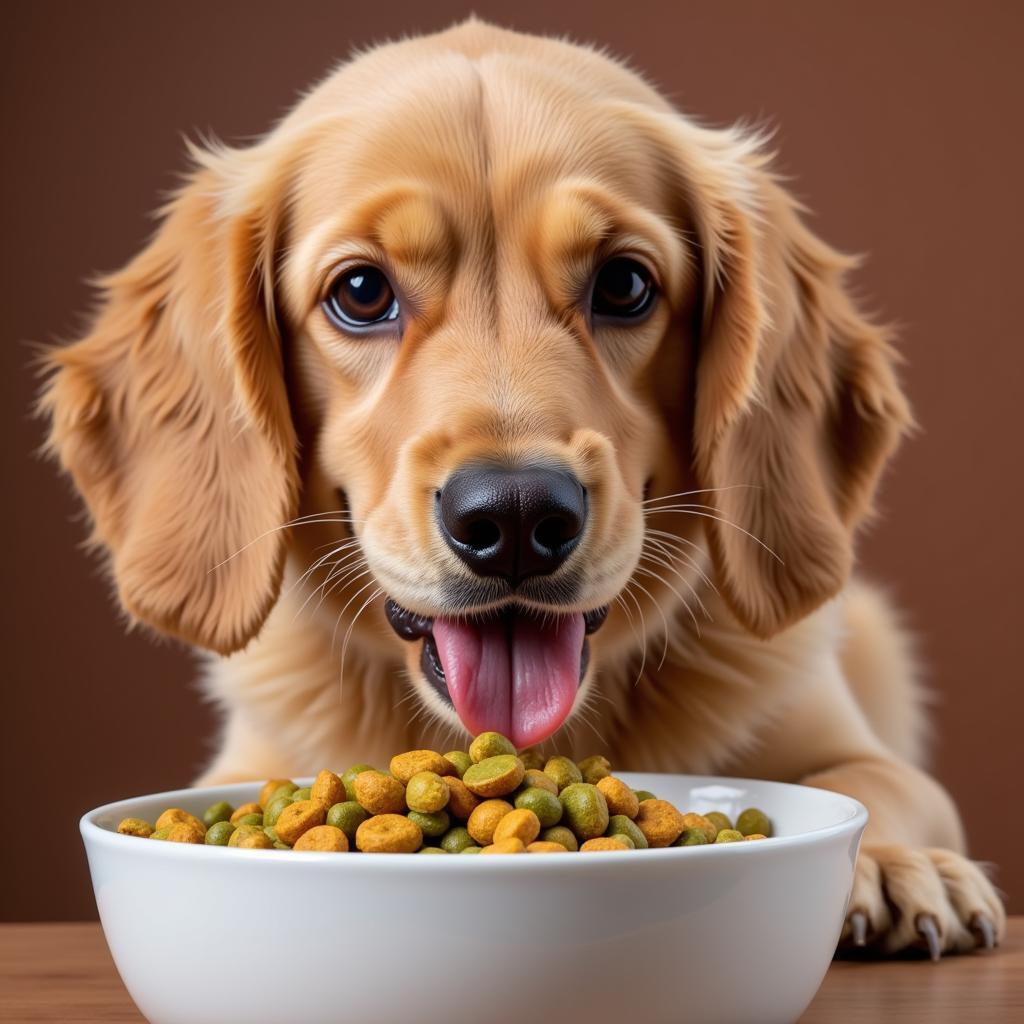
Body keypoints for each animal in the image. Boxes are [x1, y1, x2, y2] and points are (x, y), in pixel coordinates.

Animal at [39, 16, 999, 958]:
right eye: (361, 291)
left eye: (625, 284)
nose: (513, 518)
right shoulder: (243, 763)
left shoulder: (845, 740)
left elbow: (881, 781)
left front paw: (898, 863)